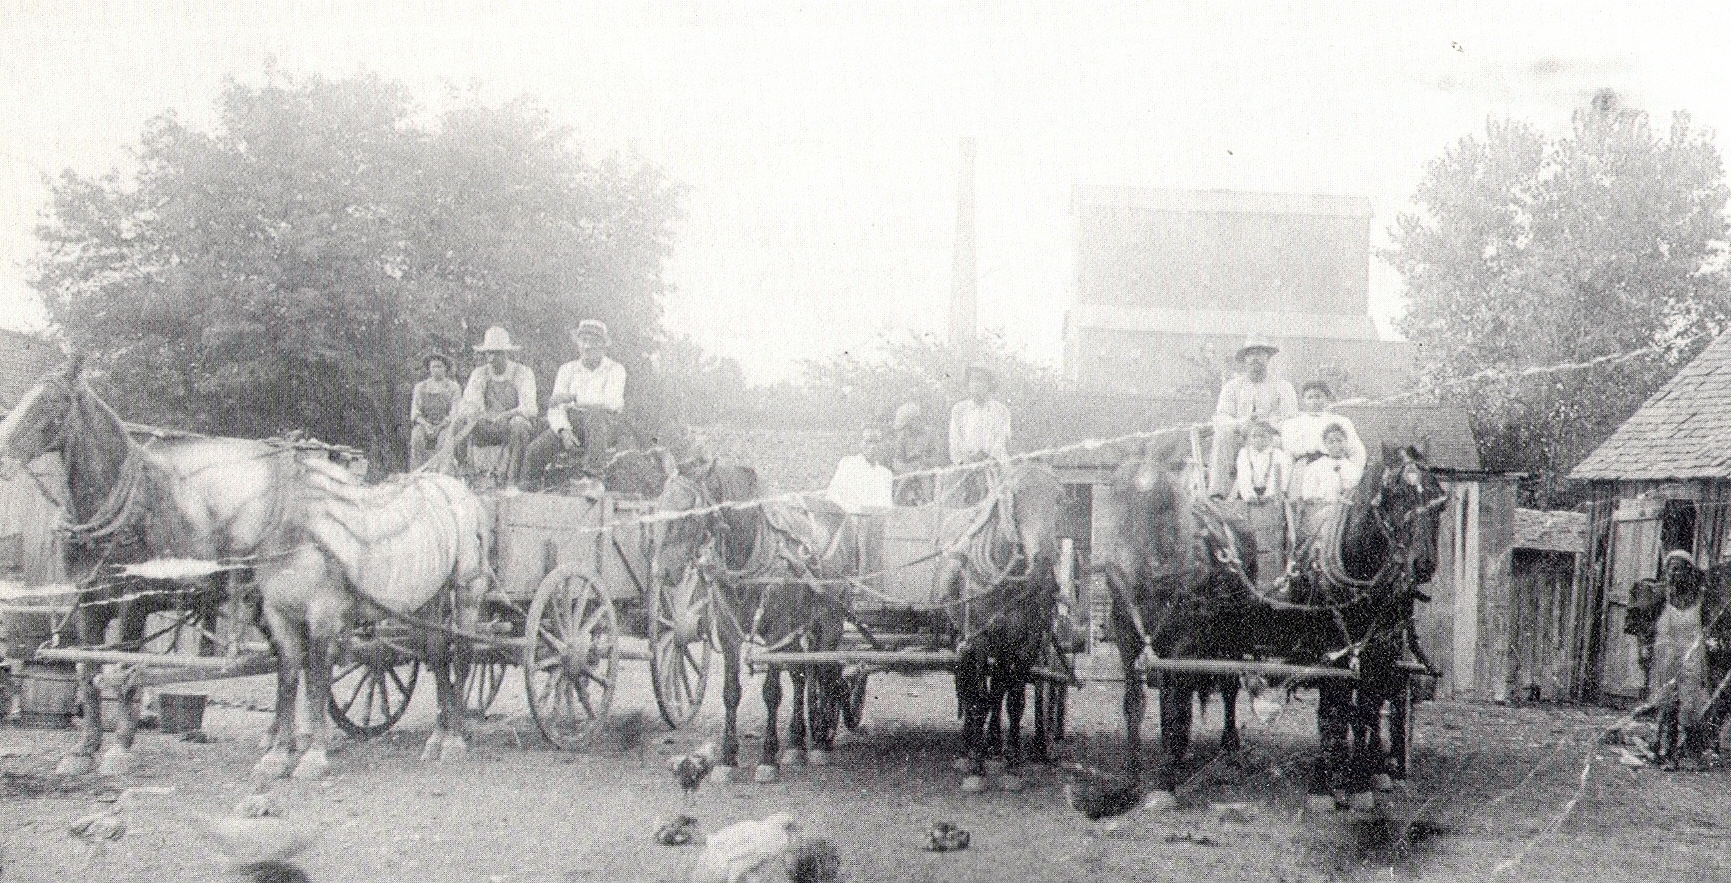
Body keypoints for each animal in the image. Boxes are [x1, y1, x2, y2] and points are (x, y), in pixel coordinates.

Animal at [0, 354, 488, 775]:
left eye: (50, 403)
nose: (3, 452)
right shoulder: (88, 602)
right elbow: (87, 671)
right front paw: (84, 751)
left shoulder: (135, 603)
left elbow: (124, 669)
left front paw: (119, 747)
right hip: (399, 601)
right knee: (431, 651)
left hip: (460, 595)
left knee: (457, 653)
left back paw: (453, 737)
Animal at [650, 457, 848, 782]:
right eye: (657, 508)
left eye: (689, 515)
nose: (662, 571)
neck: (747, 558)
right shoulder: (728, 630)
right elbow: (731, 693)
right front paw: (727, 758)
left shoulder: (776, 632)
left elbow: (771, 692)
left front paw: (768, 758)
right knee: (802, 672)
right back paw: (797, 742)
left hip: (829, 621)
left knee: (824, 671)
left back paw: (821, 740)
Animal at [934, 460, 1066, 792]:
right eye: (1016, 497)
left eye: (1060, 498)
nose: (1044, 557)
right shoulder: (978, 641)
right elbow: (978, 701)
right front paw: (975, 768)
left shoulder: (1025, 645)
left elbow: (1014, 702)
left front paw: (1012, 767)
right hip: (964, 639)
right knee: (970, 690)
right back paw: (968, 749)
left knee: (998, 691)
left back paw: (994, 745)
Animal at [1100, 453, 1267, 806]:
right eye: (1121, 502)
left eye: (1165, 505)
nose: (1157, 573)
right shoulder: (1128, 640)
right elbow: (1135, 704)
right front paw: (1133, 777)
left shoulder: (1182, 644)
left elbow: (1173, 704)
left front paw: (1165, 779)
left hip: (1230, 639)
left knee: (1228, 687)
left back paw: (1228, 744)